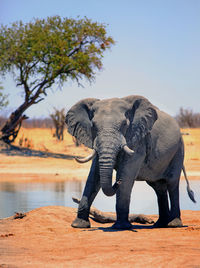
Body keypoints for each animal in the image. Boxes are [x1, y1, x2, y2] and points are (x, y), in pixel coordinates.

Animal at [66, 95, 195, 229]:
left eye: (124, 124)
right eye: (93, 126)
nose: (117, 182)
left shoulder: (138, 139)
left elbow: (126, 174)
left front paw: (121, 227)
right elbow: (93, 176)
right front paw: (79, 225)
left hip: (178, 150)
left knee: (172, 183)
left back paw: (174, 224)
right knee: (159, 187)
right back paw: (160, 225)